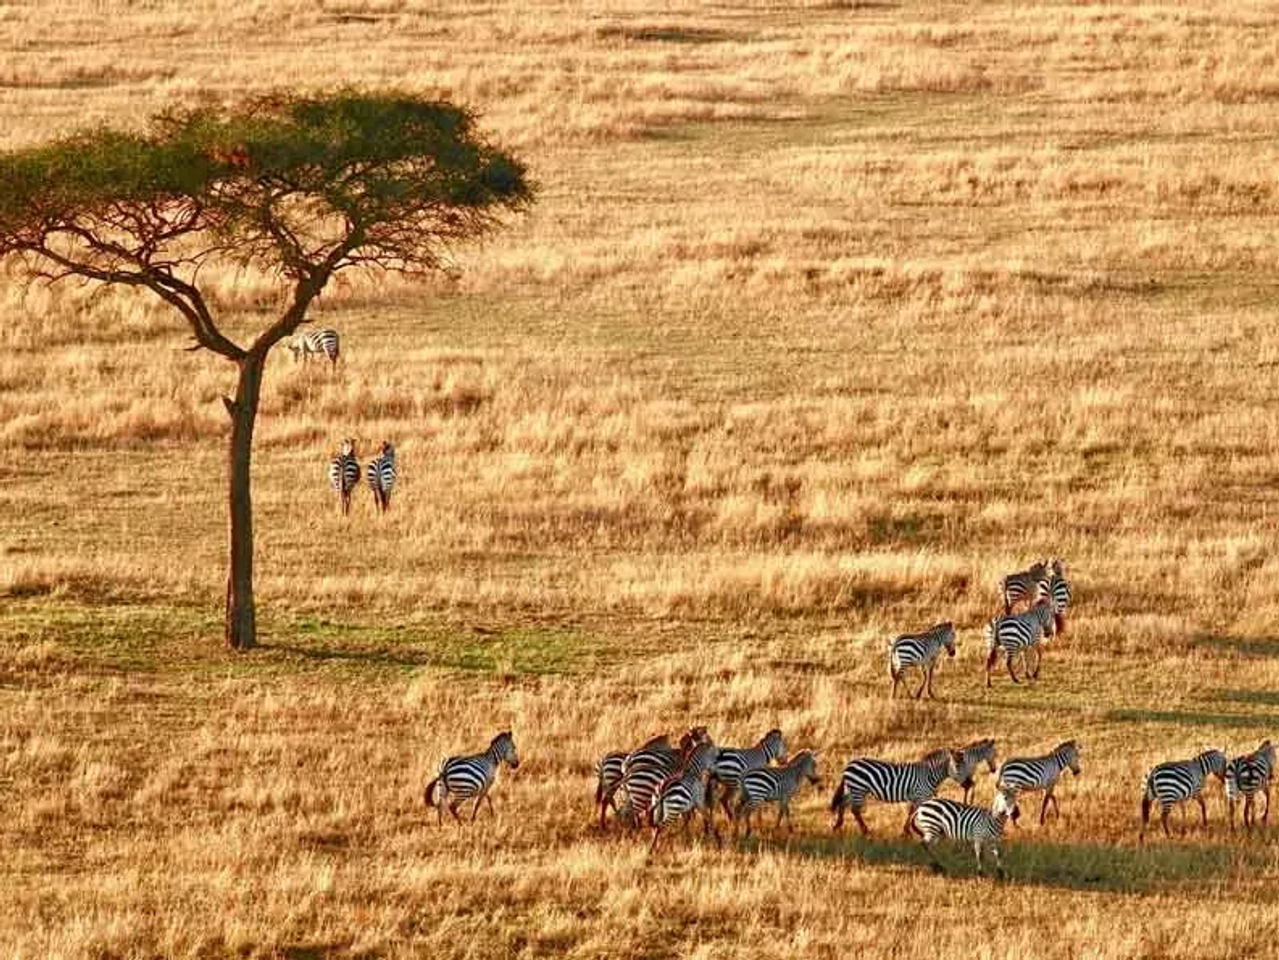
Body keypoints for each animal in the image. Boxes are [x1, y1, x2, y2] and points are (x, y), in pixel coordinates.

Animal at [831, 747, 960, 836]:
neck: (928, 775)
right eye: (957, 766)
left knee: (843, 803)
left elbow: (911, 813)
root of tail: (849, 764)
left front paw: (908, 831)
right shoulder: (920, 796)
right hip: (858, 789)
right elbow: (914, 813)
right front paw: (913, 831)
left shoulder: (917, 798)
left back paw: (838, 825)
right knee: (855, 810)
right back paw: (865, 831)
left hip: (853, 789)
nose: (965, 783)